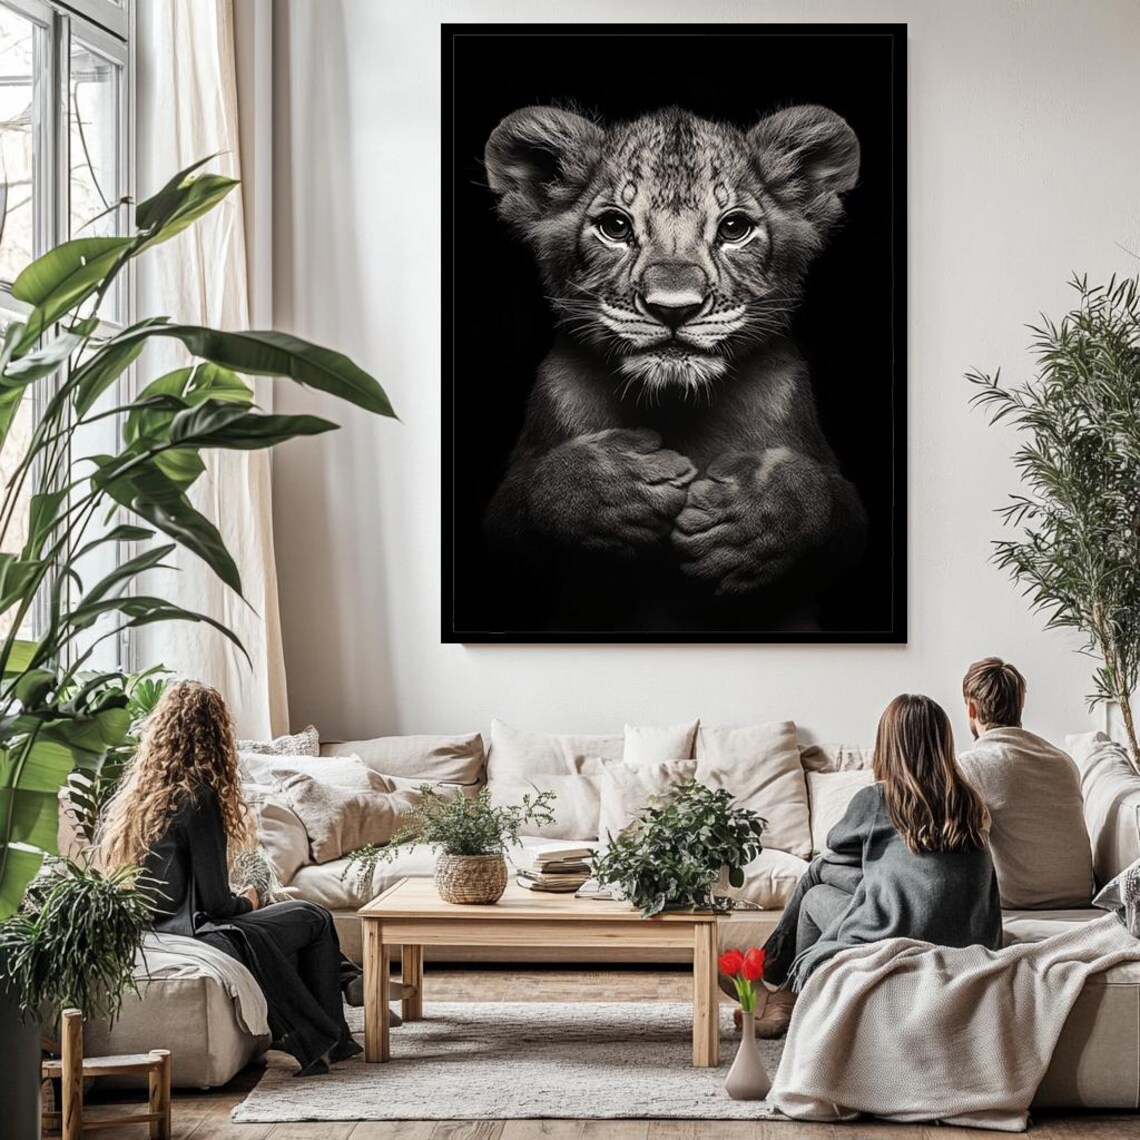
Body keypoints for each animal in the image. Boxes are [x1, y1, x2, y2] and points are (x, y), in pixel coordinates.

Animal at [481, 104, 868, 633]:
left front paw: (751, 517)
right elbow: (534, 494)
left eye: (734, 228)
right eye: (615, 226)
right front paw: (611, 485)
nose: (673, 307)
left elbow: (821, 498)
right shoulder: (505, 542)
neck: (675, 404)